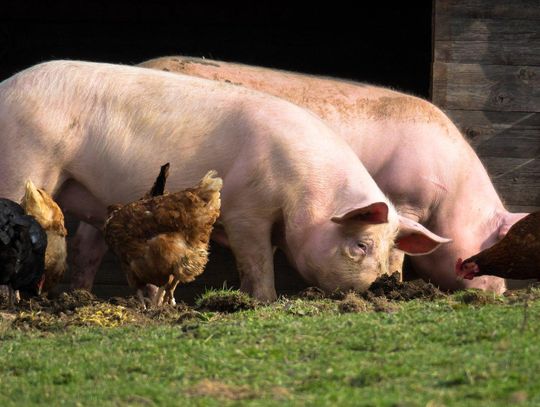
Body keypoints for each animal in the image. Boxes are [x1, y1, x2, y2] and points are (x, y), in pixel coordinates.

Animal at [0, 59, 446, 300]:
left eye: (391, 250)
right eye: (360, 245)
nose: (381, 287)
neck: (302, 190)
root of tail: (6, 86)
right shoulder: (246, 211)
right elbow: (257, 260)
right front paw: (263, 301)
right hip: (25, 161)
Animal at [138, 56, 528, 294]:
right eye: (493, 243)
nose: (499, 293)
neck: (451, 195)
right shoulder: (404, 199)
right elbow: (397, 251)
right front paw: (397, 283)